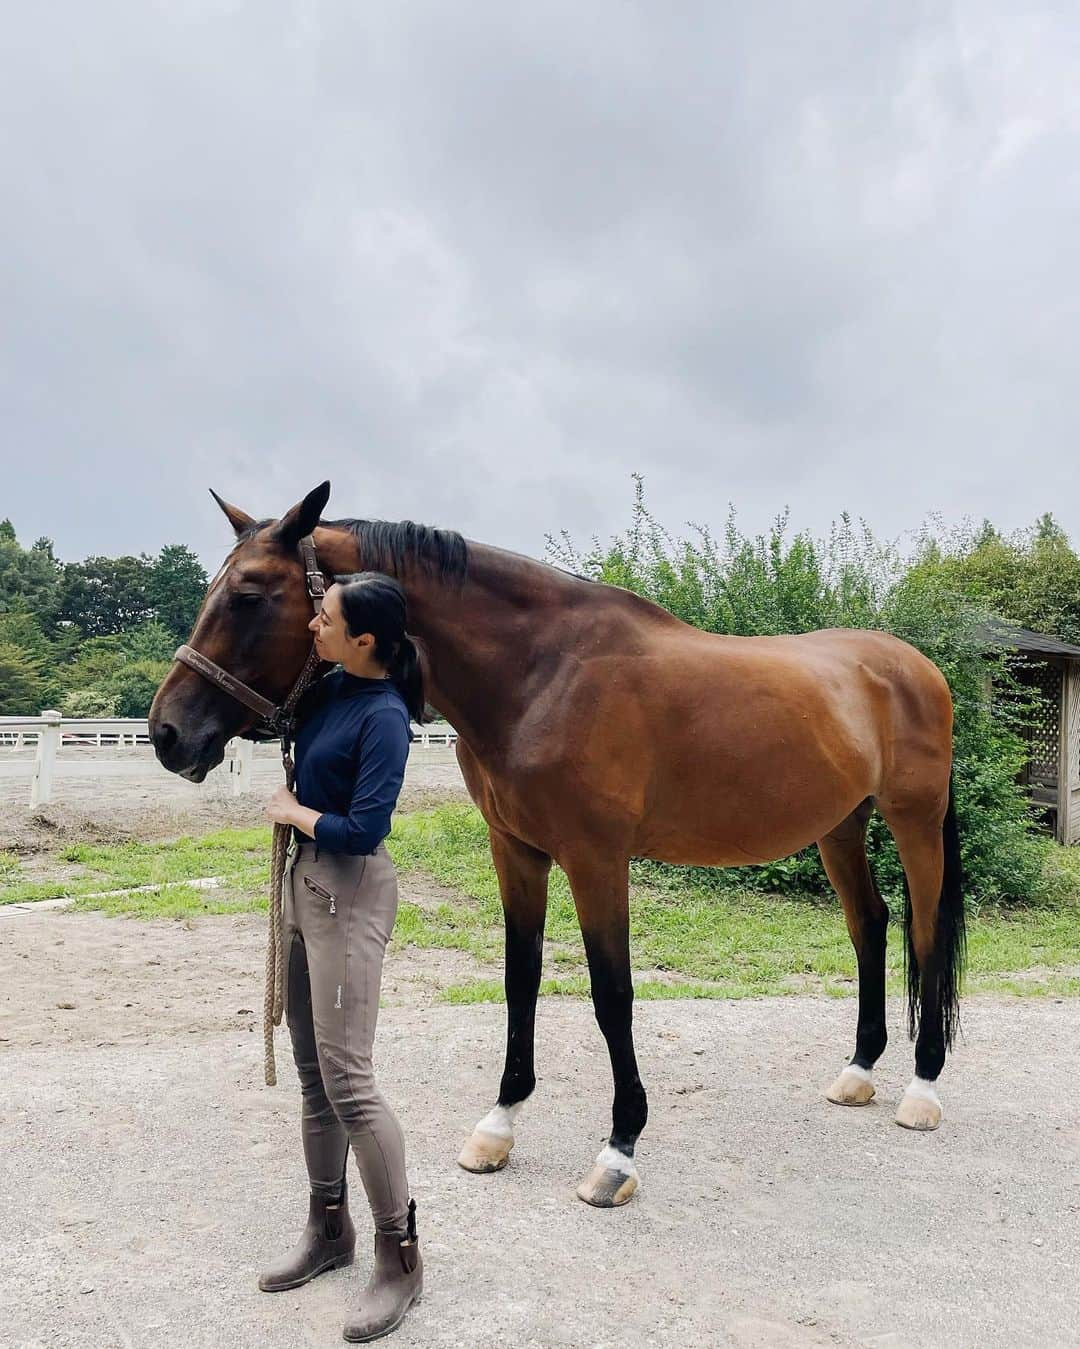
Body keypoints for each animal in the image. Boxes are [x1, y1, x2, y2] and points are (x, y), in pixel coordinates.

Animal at [149, 485, 960, 1214]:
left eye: (250, 595)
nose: (167, 733)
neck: (541, 673)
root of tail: (915, 665)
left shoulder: (596, 859)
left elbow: (612, 995)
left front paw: (618, 1153)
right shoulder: (516, 851)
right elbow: (521, 979)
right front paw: (498, 1125)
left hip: (913, 822)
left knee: (923, 931)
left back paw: (922, 1086)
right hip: (839, 827)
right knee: (870, 926)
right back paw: (859, 1069)